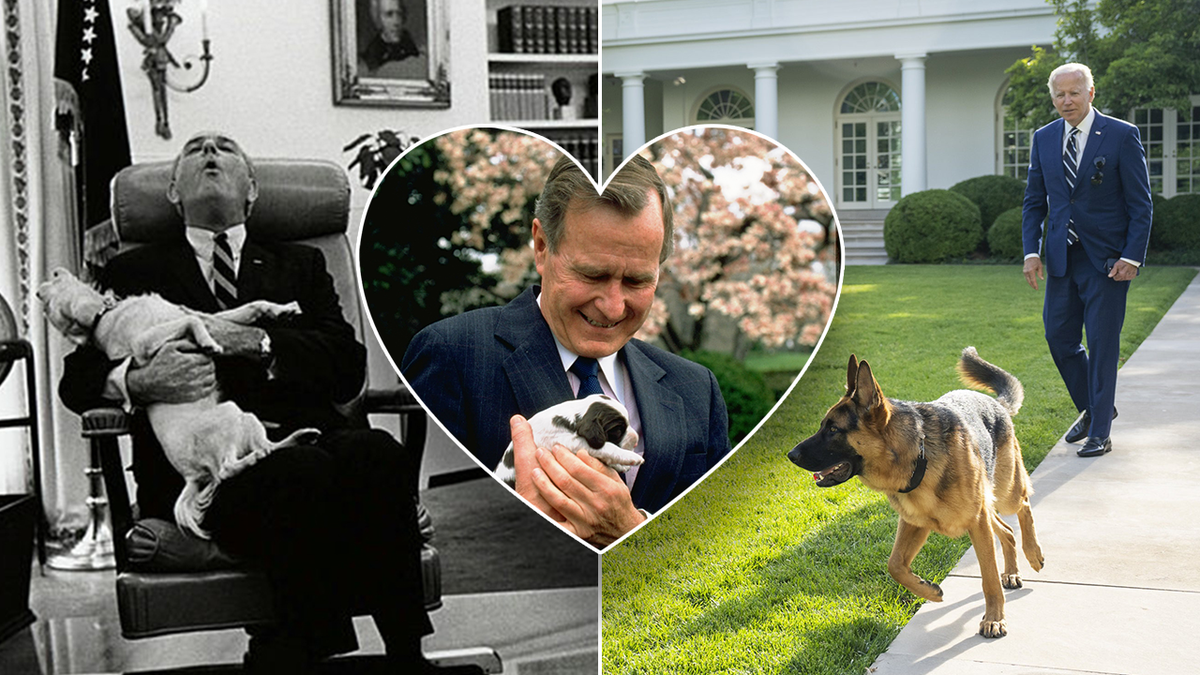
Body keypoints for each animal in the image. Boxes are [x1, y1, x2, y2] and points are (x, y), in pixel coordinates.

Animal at [494, 391, 643, 485]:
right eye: (618, 430)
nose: (636, 443)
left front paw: (621, 465)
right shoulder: (569, 442)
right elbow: (607, 447)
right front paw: (633, 458)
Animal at [787, 345, 1041, 634]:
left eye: (833, 429)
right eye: (823, 426)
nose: (790, 455)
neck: (917, 456)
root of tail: (996, 404)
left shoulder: (977, 523)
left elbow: (988, 579)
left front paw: (994, 619)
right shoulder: (915, 524)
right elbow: (895, 565)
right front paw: (928, 591)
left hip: (1005, 492)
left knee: (1024, 505)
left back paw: (1034, 554)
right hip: (986, 509)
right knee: (1007, 531)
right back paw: (1011, 572)